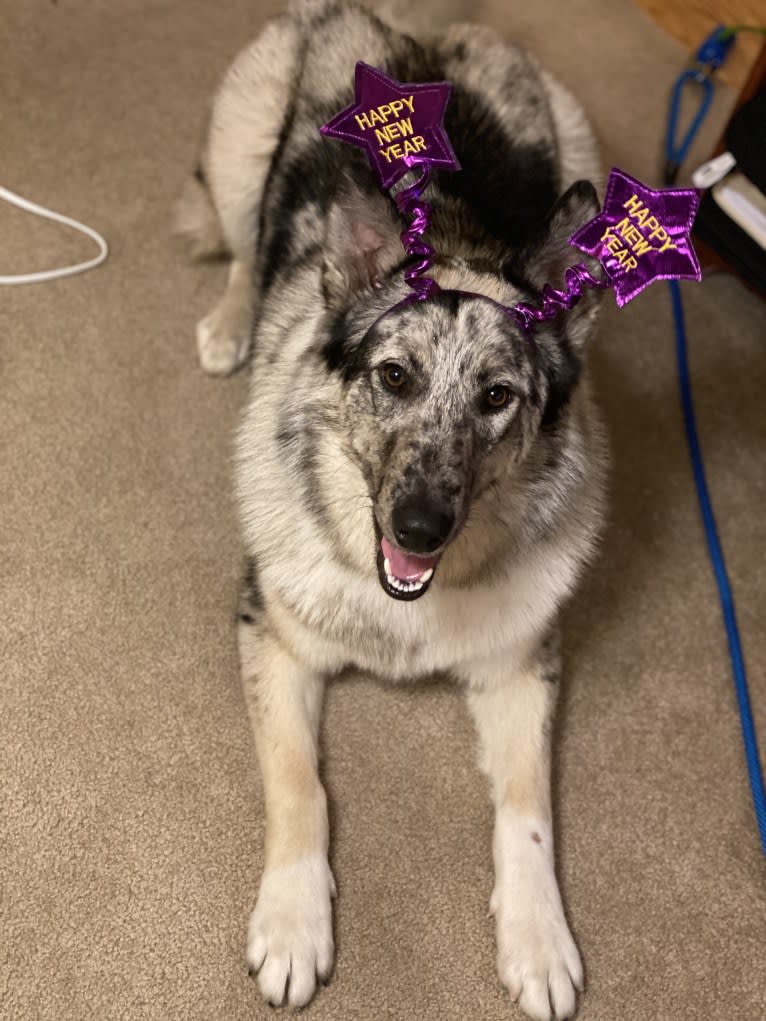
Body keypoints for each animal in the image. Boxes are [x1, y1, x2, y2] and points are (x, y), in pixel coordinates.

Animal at [179, 3, 612, 1016]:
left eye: (498, 397)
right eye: (394, 377)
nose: (418, 527)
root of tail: (416, 21)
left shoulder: (521, 670)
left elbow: (529, 813)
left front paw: (538, 939)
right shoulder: (272, 637)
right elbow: (301, 786)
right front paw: (293, 922)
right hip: (239, 137)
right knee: (245, 247)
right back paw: (230, 323)